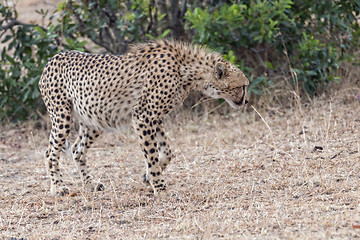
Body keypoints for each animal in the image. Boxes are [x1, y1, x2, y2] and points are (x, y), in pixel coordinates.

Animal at [38, 39, 249, 196]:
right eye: (243, 86)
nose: (246, 101)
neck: (186, 70)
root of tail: (53, 58)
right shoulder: (143, 115)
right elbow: (152, 153)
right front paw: (160, 187)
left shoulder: (155, 117)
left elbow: (166, 151)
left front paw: (148, 177)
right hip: (62, 116)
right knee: (50, 152)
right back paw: (58, 187)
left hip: (95, 119)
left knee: (77, 149)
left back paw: (91, 184)